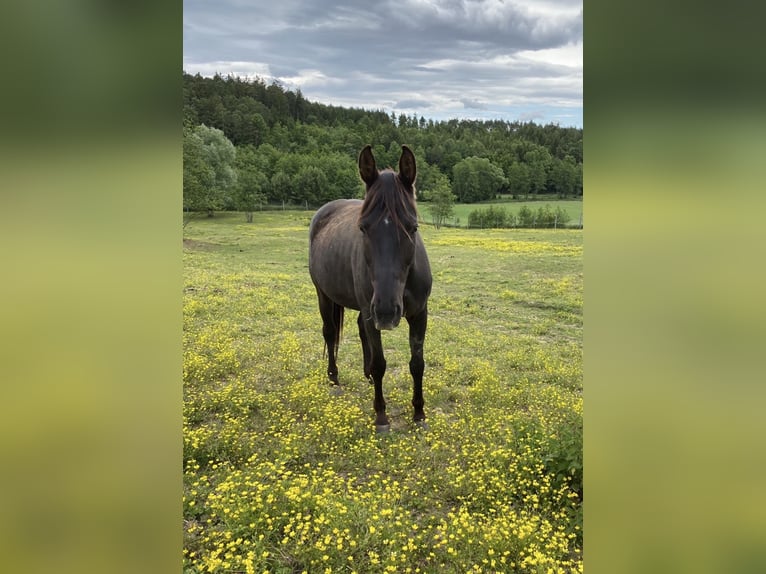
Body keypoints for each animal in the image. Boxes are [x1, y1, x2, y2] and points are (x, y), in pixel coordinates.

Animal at [308, 145, 432, 432]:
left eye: (413, 227)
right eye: (363, 228)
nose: (387, 311)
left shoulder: (419, 314)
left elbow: (417, 364)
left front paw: (419, 413)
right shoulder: (370, 310)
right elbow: (379, 364)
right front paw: (381, 416)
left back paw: (365, 377)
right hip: (327, 295)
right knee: (329, 333)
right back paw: (333, 378)